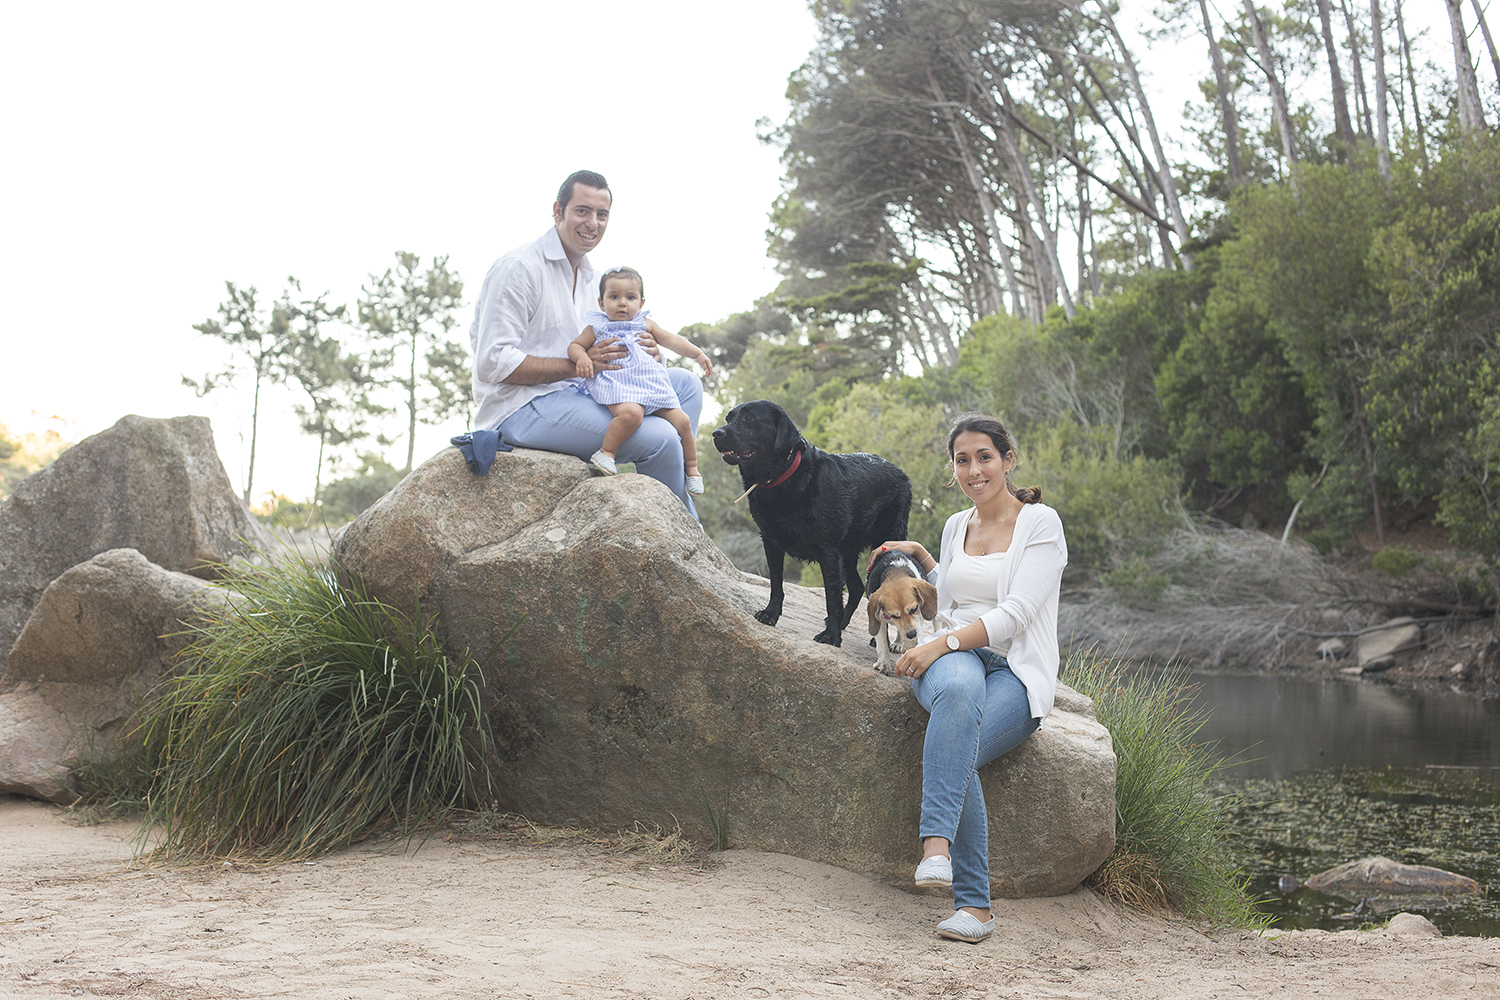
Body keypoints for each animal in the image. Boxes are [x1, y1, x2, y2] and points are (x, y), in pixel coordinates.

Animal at [711, 401, 906, 650]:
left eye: (749, 418)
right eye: (728, 419)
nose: (716, 433)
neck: (784, 479)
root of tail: (902, 473)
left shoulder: (828, 552)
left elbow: (832, 598)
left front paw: (831, 636)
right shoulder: (771, 542)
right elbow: (776, 584)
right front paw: (770, 614)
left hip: (886, 542)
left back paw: (877, 638)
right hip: (848, 551)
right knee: (856, 587)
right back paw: (844, 621)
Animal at [870, 548, 936, 680]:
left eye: (914, 609)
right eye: (894, 615)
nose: (911, 634)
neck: (896, 571)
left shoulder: (919, 614)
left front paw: (909, 646)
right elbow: (882, 643)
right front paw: (883, 664)